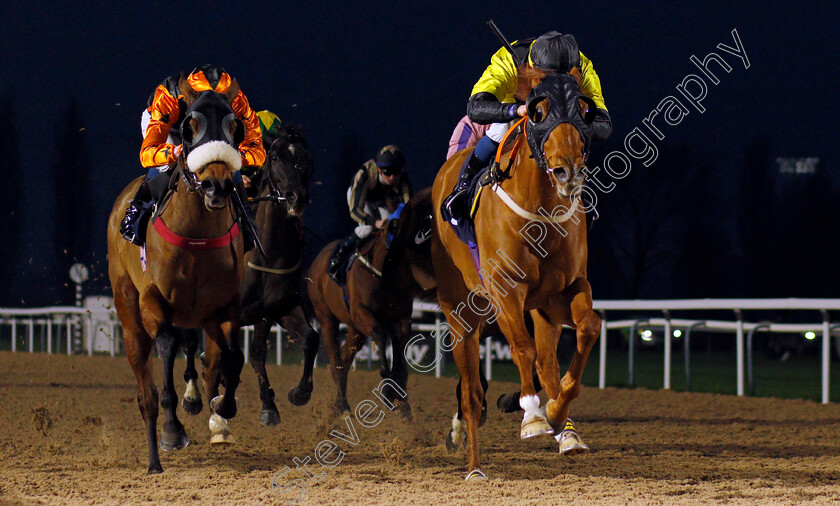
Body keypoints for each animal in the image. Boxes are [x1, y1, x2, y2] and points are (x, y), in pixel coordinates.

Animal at [107, 76, 249, 474]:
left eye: (234, 126)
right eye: (190, 126)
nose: (217, 185)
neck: (196, 235)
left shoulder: (225, 307)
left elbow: (233, 357)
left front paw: (222, 409)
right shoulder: (154, 301)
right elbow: (168, 346)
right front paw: (173, 429)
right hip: (129, 313)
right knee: (147, 387)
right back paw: (156, 457)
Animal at [306, 190, 434, 420]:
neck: (384, 274)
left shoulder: (401, 318)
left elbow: (401, 360)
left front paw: (403, 405)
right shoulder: (363, 313)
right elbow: (381, 337)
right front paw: (388, 391)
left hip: (355, 329)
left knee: (344, 361)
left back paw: (340, 405)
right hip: (327, 318)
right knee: (336, 362)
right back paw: (343, 406)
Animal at [430, 70, 600, 478]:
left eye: (583, 110)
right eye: (537, 112)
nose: (567, 171)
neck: (540, 209)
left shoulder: (562, 292)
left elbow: (587, 329)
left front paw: (556, 414)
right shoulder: (505, 290)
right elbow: (521, 348)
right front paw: (533, 416)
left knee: (546, 365)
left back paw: (566, 432)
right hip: (459, 312)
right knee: (471, 393)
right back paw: (475, 466)